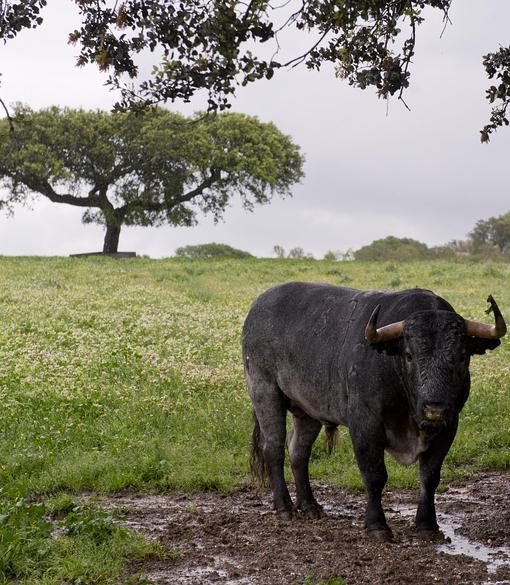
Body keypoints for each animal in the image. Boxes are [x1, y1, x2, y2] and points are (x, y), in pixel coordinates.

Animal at [243, 282, 506, 540]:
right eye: (409, 355)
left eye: (462, 356)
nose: (435, 408)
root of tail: (258, 307)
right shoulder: (365, 424)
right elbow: (375, 475)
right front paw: (377, 525)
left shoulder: (449, 427)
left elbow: (429, 476)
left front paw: (427, 525)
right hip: (265, 393)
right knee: (274, 449)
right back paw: (284, 507)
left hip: (307, 410)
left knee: (299, 451)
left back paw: (309, 505)